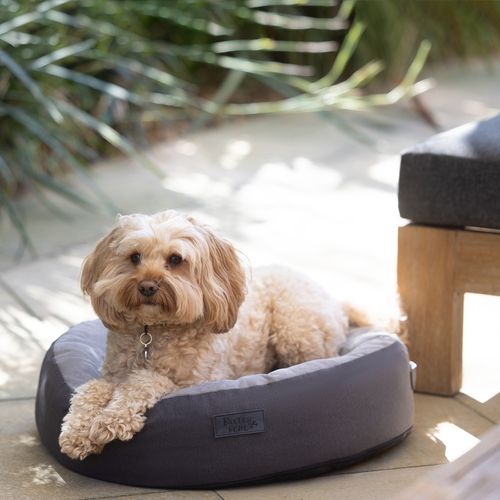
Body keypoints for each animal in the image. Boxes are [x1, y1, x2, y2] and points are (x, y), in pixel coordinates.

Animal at [58, 209, 366, 458]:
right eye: (134, 257)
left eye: (175, 259)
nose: (146, 286)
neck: (154, 331)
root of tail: (335, 302)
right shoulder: (112, 375)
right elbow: (90, 388)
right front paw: (77, 431)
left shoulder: (196, 381)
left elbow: (145, 381)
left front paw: (109, 421)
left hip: (295, 330)